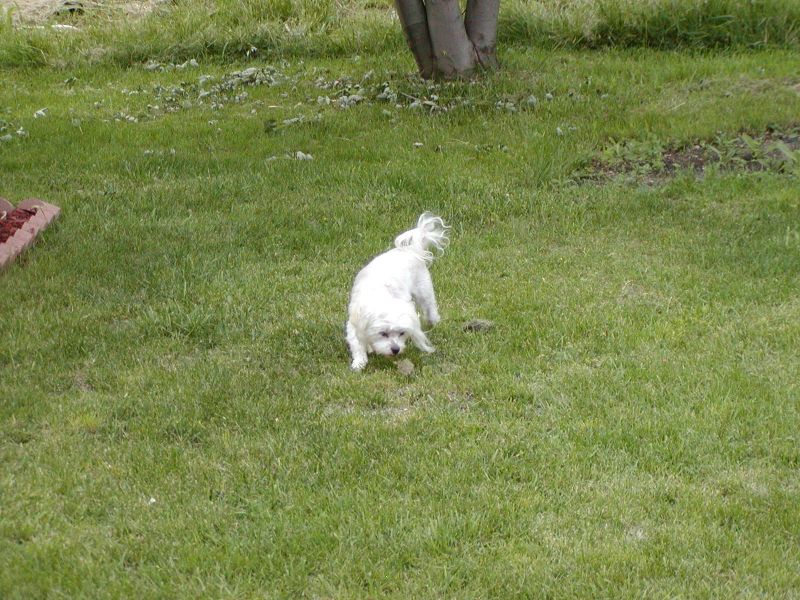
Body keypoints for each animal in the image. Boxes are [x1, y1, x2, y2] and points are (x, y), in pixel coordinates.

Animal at [346, 211, 450, 370]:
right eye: (383, 333)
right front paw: (359, 362)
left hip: (424, 291)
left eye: (402, 333)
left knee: (430, 308)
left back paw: (434, 321)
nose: (396, 349)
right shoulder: (354, 321)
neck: (382, 295)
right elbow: (357, 343)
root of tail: (411, 250)